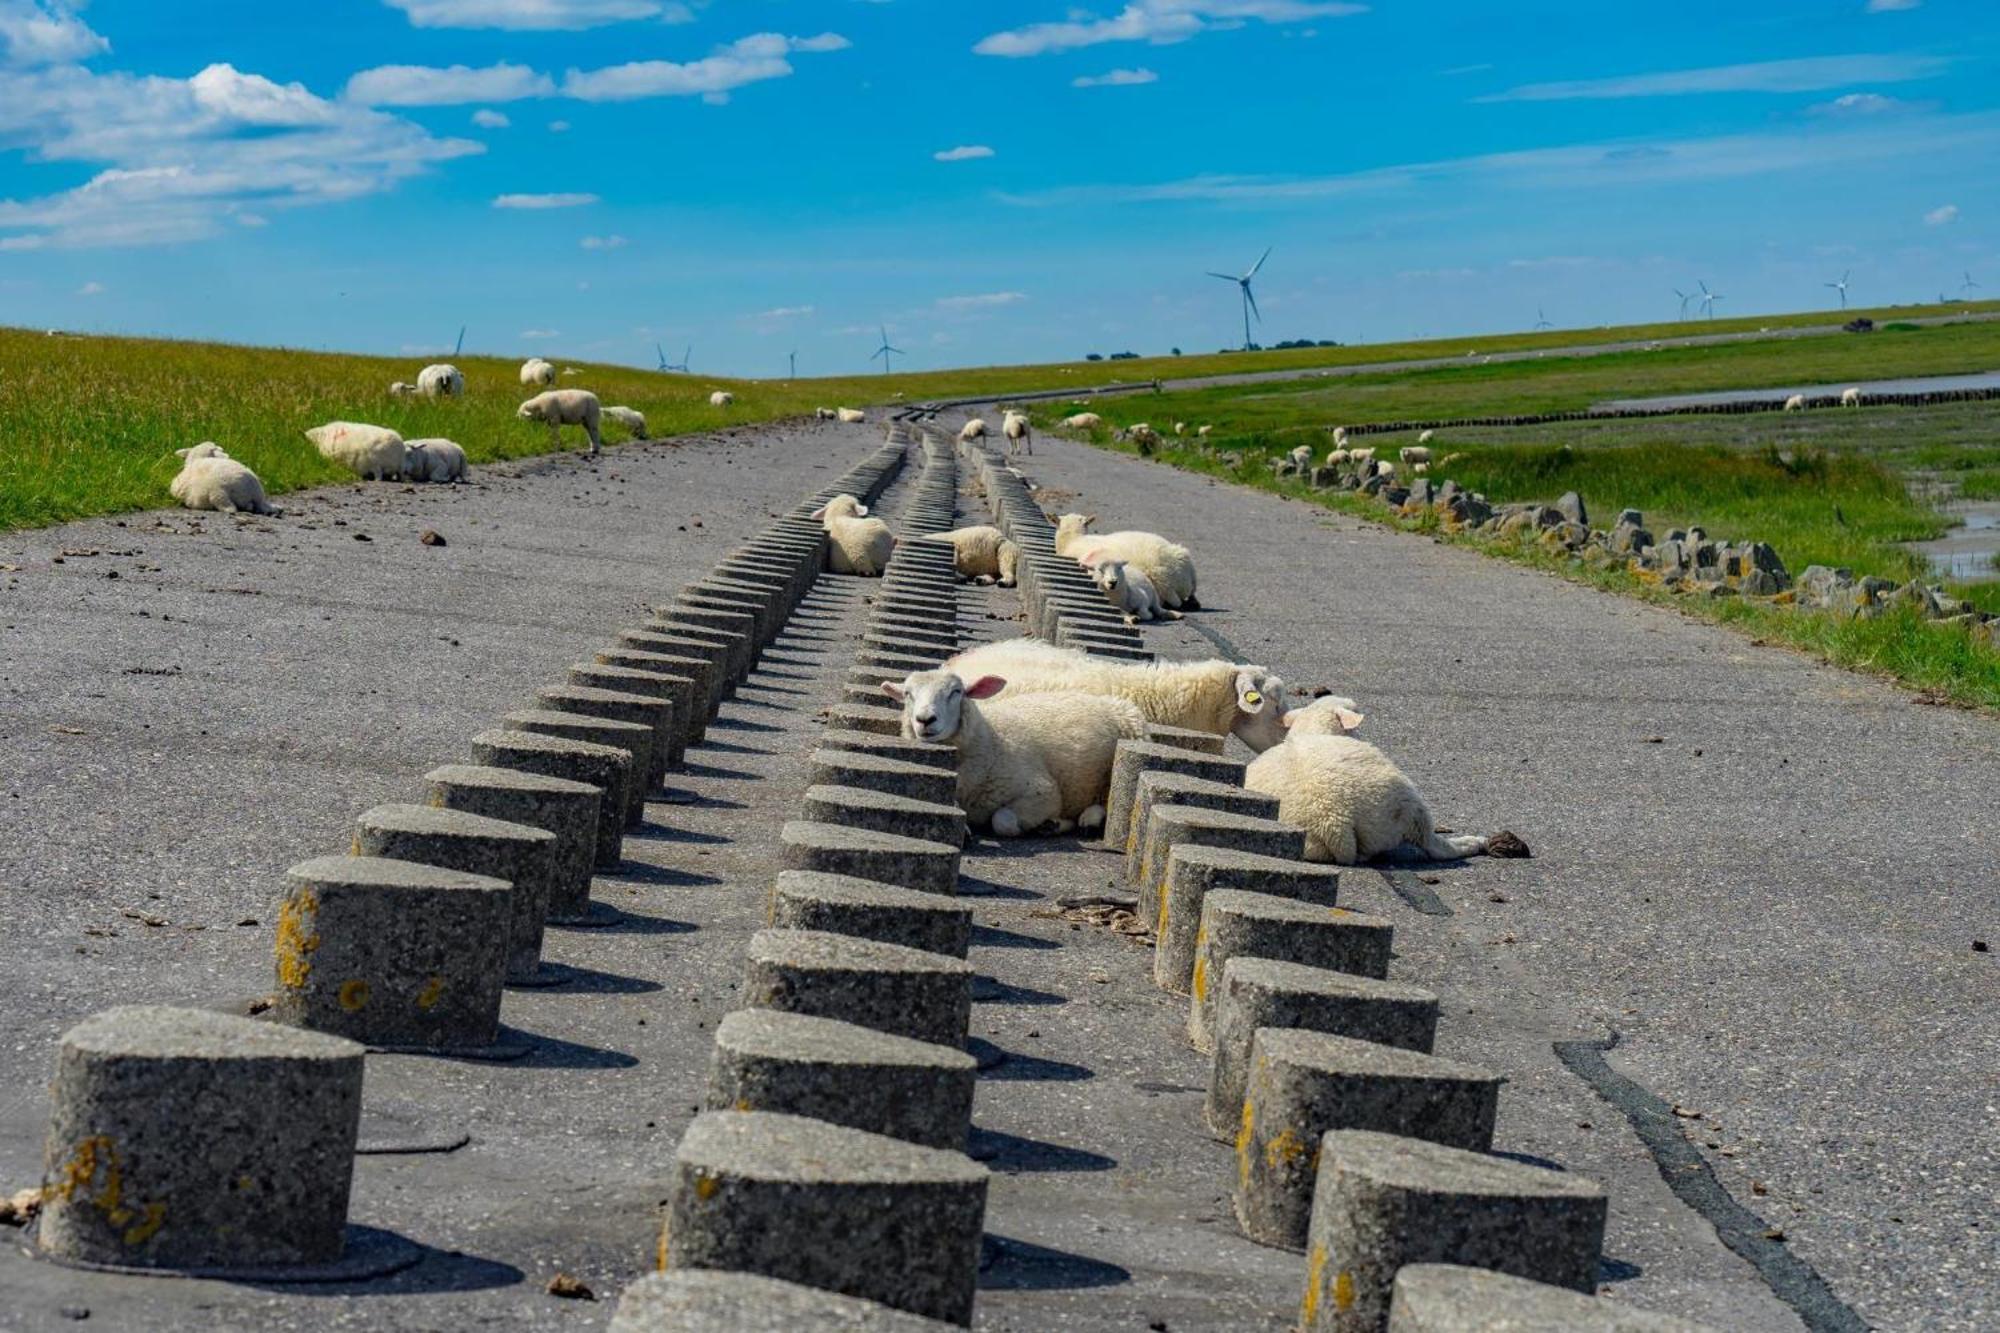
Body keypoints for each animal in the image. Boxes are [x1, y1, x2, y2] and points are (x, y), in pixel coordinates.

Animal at [880, 668, 1144, 836]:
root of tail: (1113, 701)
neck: (992, 739)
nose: (925, 720)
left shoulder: (1043, 792)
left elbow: (1002, 821)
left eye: (956, 692)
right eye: (907, 694)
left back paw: (1088, 820)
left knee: (1109, 800)